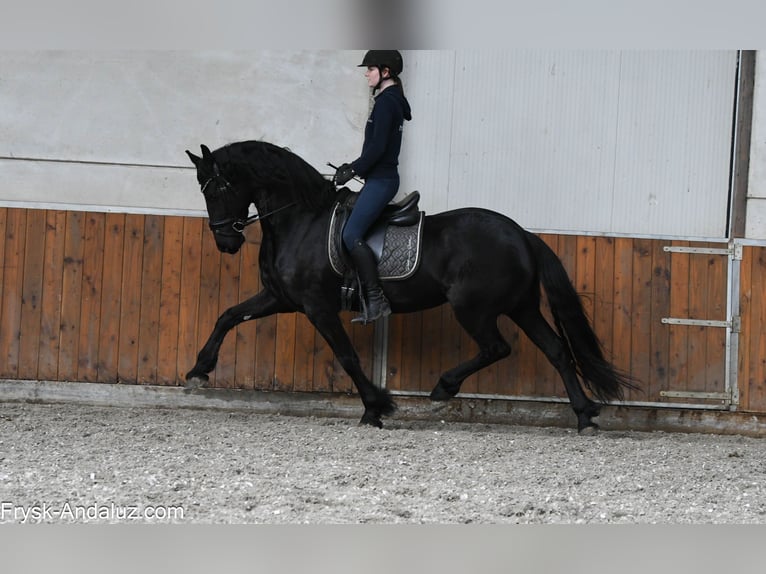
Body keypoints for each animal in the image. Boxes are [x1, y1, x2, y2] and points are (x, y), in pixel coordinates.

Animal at [184, 140, 637, 433]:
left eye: (219, 187)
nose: (225, 242)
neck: (301, 219)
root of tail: (522, 234)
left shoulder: (317, 306)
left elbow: (346, 356)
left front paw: (376, 407)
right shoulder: (281, 298)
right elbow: (227, 316)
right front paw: (198, 370)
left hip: (473, 308)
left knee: (497, 348)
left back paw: (444, 387)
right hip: (521, 306)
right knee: (557, 350)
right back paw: (584, 415)